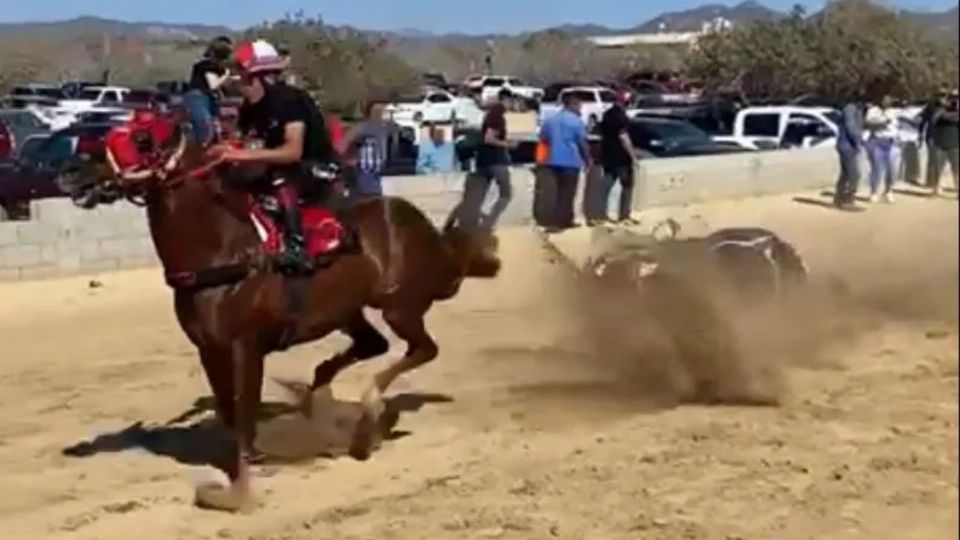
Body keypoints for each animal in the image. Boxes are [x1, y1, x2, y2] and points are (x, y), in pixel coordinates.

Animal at [58, 124, 502, 512]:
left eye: (142, 137)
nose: (70, 170)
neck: (223, 251)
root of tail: (424, 229)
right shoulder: (209, 349)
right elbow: (228, 415)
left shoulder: (246, 346)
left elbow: (244, 417)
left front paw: (238, 494)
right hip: (346, 311)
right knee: (371, 346)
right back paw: (317, 399)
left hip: (400, 306)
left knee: (422, 349)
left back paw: (366, 415)